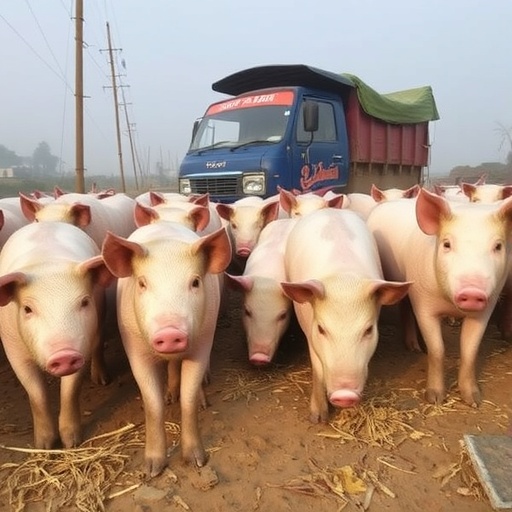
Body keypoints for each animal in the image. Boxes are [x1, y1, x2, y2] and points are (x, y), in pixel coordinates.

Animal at [0, 222, 114, 449]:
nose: (63, 354)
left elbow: (70, 391)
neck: (46, 263)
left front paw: (72, 443)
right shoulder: (12, 348)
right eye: (27, 309)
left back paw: (101, 380)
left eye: (84, 302)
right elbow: (36, 394)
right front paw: (44, 446)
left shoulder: (81, 345)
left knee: (98, 343)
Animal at [101, 222, 232, 477]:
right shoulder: (134, 350)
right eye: (142, 283)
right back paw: (170, 396)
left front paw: (197, 462)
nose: (170, 333)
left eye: (195, 282)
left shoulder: (202, 344)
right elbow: (153, 406)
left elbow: (188, 400)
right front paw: (152, 470)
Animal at [281, 208, 411, 423]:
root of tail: (329, 210)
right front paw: (318, 419)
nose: (345, 394)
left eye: (368, 330)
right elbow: (317, 368)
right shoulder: (309, 331)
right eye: (321, 329)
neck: (343, 277)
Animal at [367, 188, 512, 406]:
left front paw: (474, 401)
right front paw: (434, 399)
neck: (451, 305)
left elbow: (470, 351)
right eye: (447, 244)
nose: (472, 292)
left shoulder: (486, 308)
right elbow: (437, 350)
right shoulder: (424, 305)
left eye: (498, 246)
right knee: (406, 308)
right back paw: (414, 348)